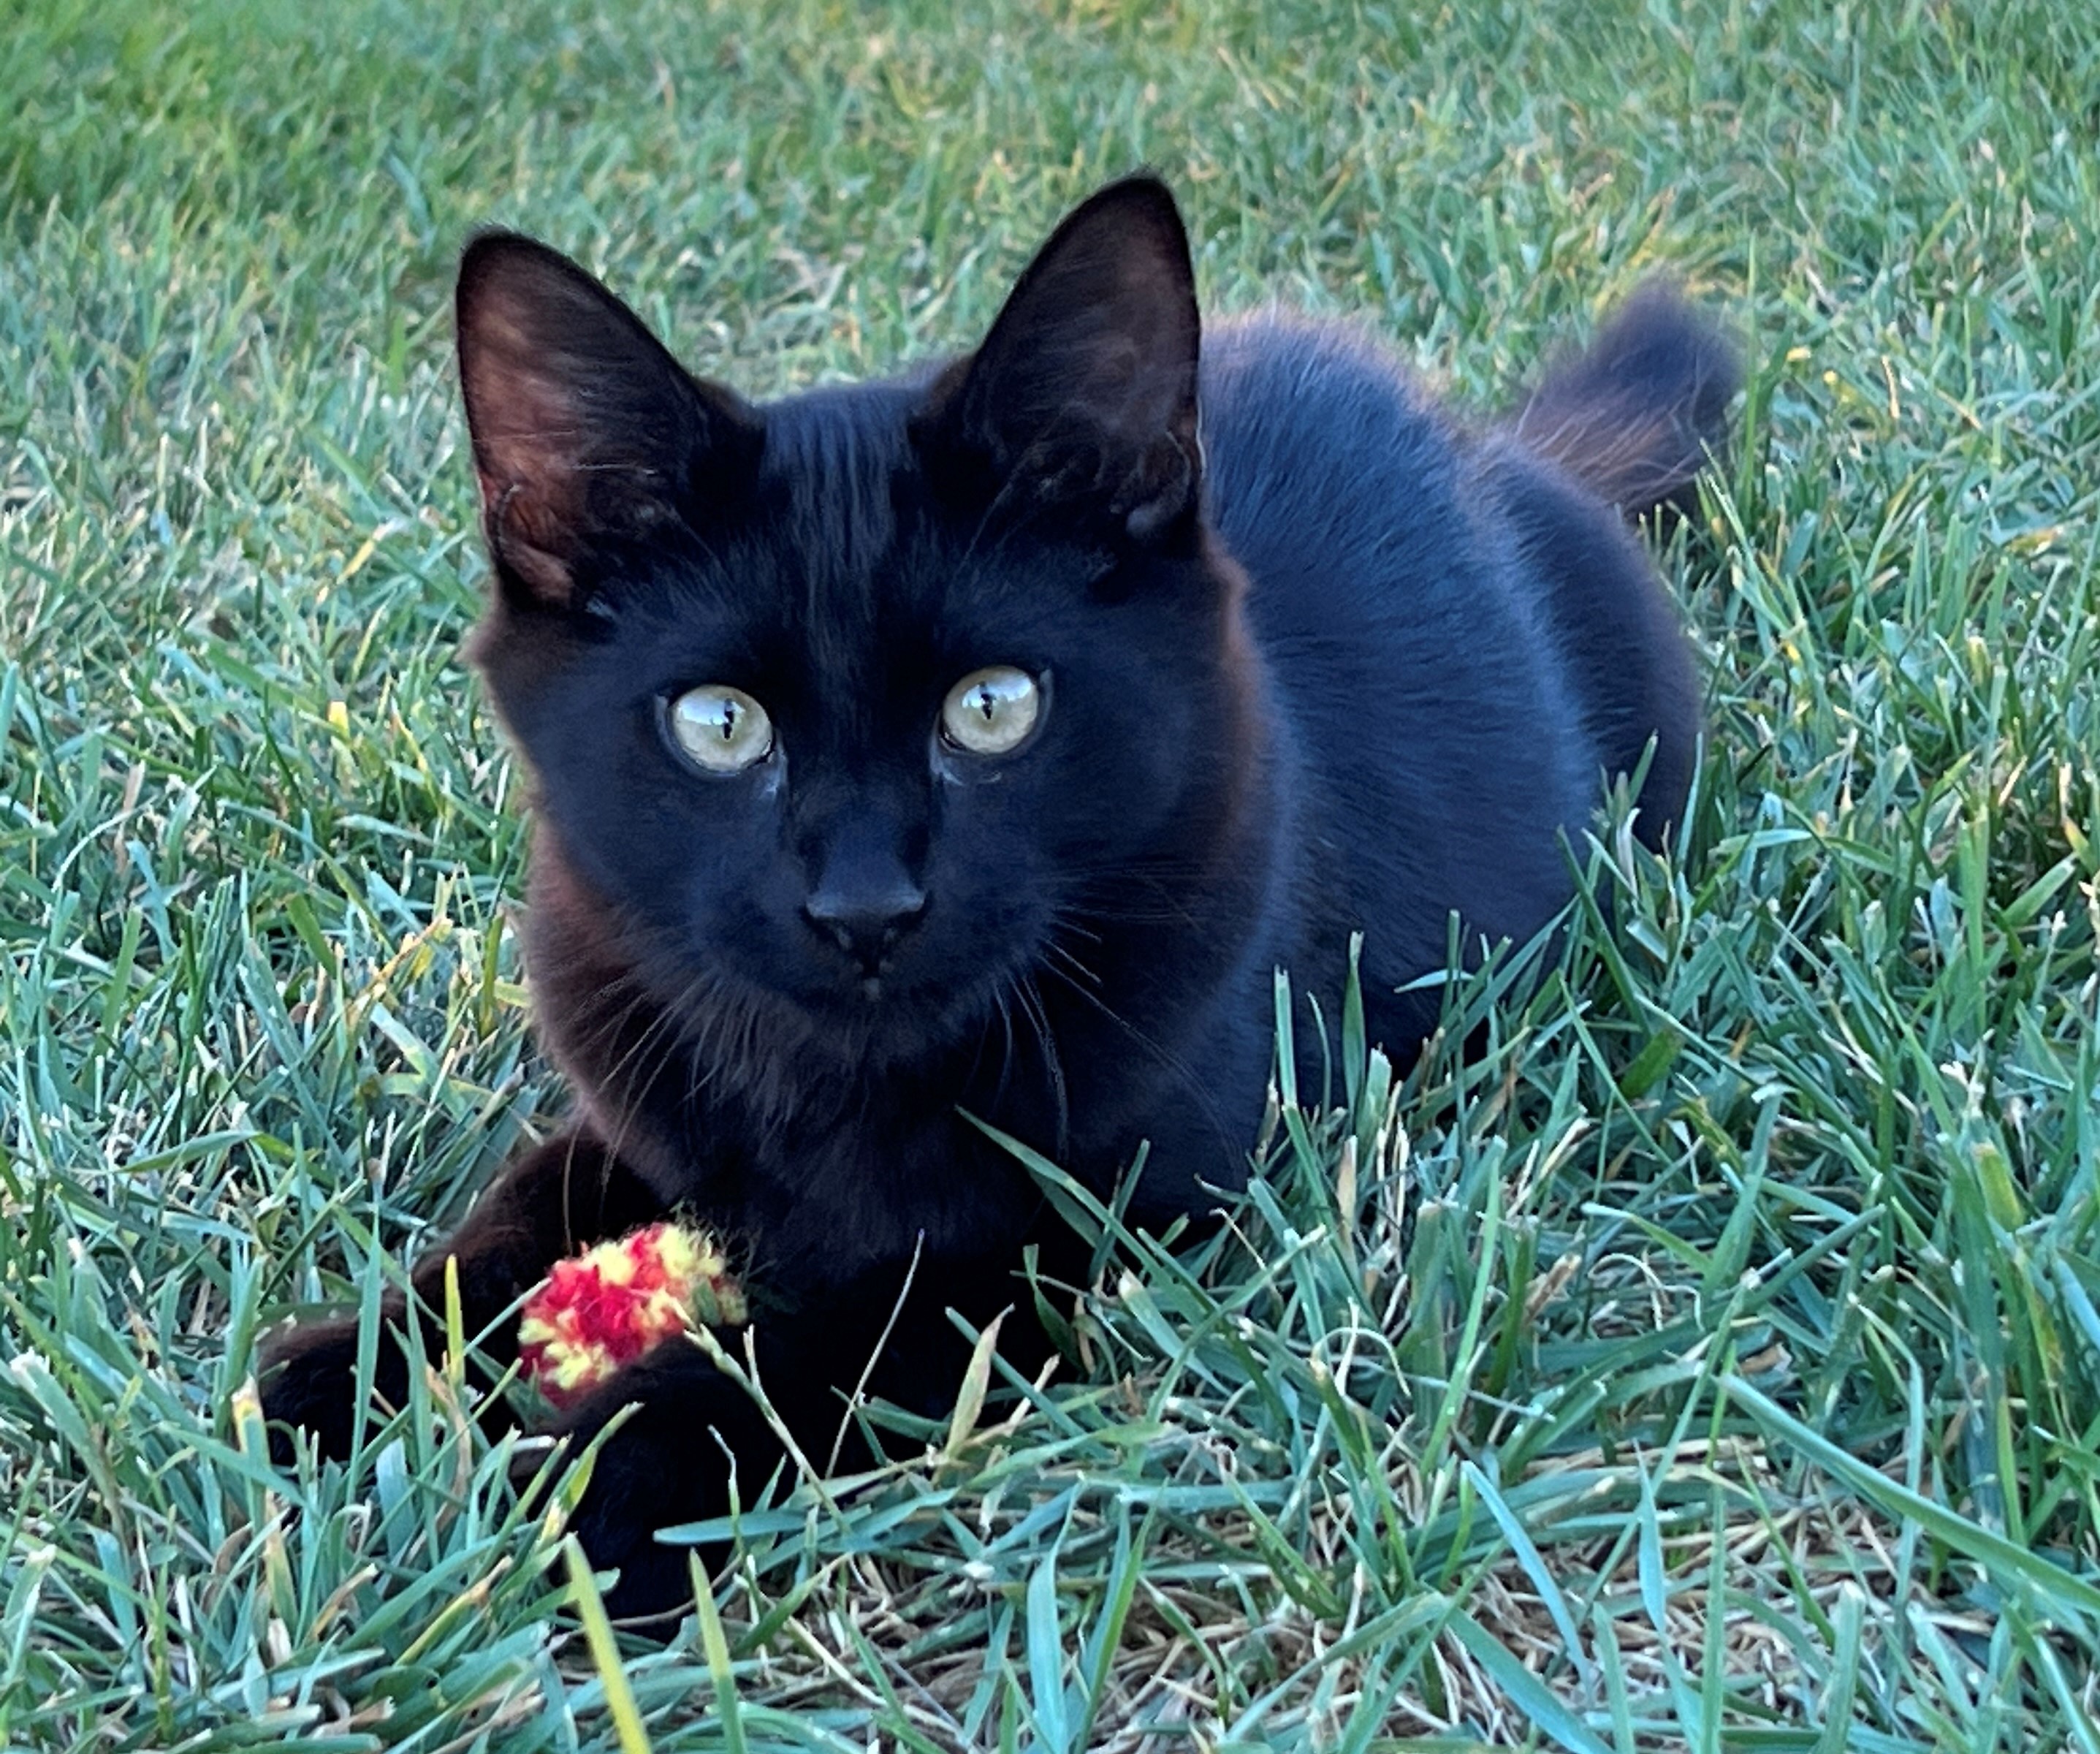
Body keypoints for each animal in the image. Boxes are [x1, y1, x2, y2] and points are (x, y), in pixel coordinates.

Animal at [258, 171, 1738, 1613]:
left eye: (992, 708)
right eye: (719, 726)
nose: (863, 907)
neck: (842, 1091)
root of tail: (1502, 447)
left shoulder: (1124, 1218)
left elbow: (866, 1334)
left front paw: (616, 1471)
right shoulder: (642, 1082)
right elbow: (521, 1210)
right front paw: (342, 1374)